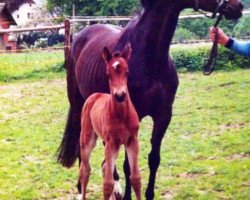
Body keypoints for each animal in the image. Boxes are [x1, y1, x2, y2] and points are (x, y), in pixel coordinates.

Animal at [79, 44, 141, 200]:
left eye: (127, 72)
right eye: (108, 73)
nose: (120, 95)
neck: (122, 116)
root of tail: (95, 95)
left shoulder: (132, 141)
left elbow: (136, 178)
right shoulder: (111, 142)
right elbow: (107, 184)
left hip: (115, 146)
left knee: (105, 167)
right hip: (88, 140)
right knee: (85, 170)